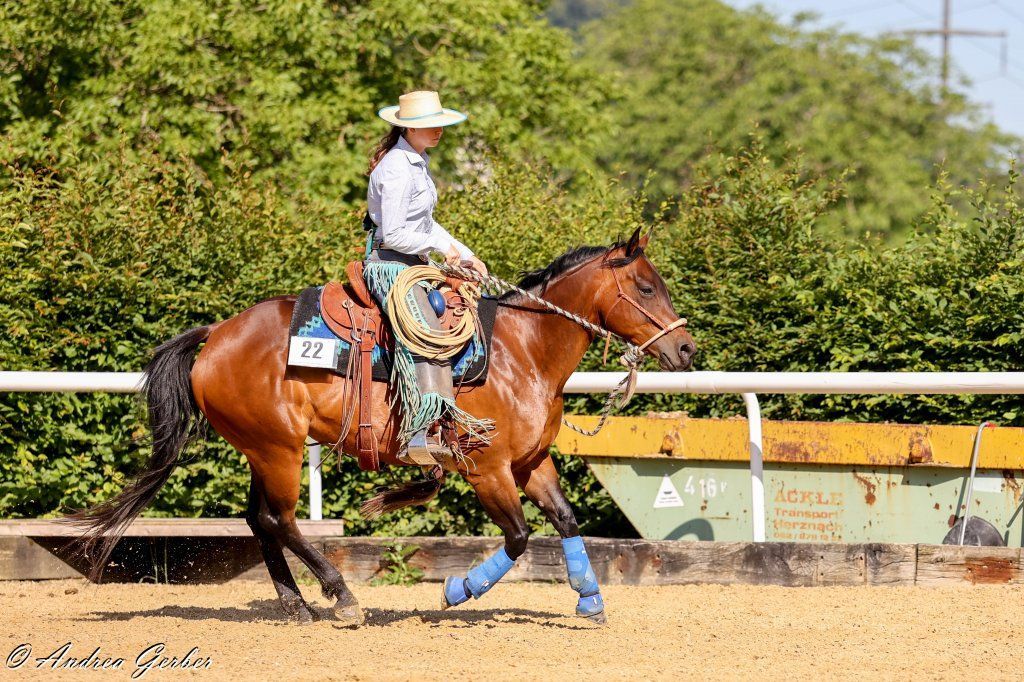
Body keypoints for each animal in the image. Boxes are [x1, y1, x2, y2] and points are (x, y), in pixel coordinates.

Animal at [67, 226, 695, 626]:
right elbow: (518, 537)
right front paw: (457, 590)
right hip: (278, 449)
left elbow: (565, 519)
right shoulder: (487, 468)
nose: (687, 349)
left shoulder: (529, 462)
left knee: (258, 519)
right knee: (281, 519)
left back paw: (296, 604)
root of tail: (216, 335)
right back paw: (341, 596)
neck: (524, 352)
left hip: (262, 449)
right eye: (645, 287)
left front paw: (590, 601)